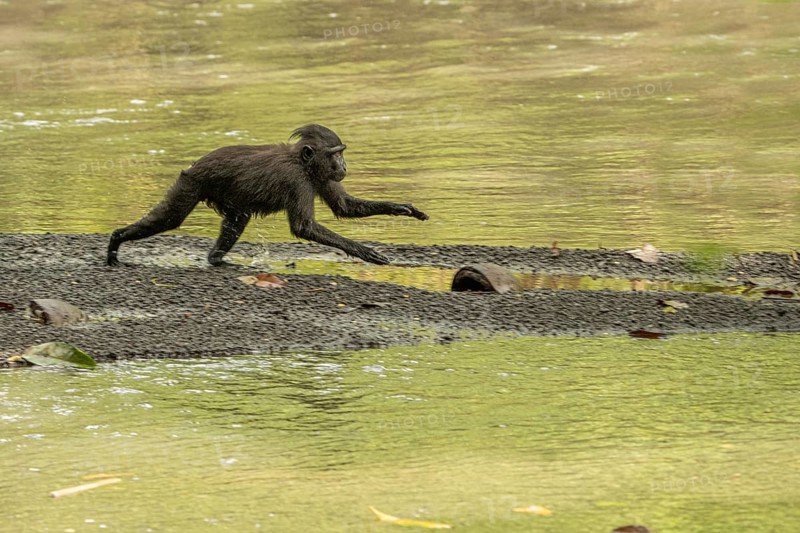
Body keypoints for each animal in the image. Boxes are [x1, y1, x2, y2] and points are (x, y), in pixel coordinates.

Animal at [107, 124, 428, 267]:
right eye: (337, 154)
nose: (345, 166)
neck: (303, 163)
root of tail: (195, 165)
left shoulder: (320, 178)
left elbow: (345, 207)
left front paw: (403, 209)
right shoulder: (297, 181)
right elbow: (304, 227)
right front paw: (367, 252)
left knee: (238, 218)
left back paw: (216, 258)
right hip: (191, 183)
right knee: (171, 218)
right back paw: (116, 240)